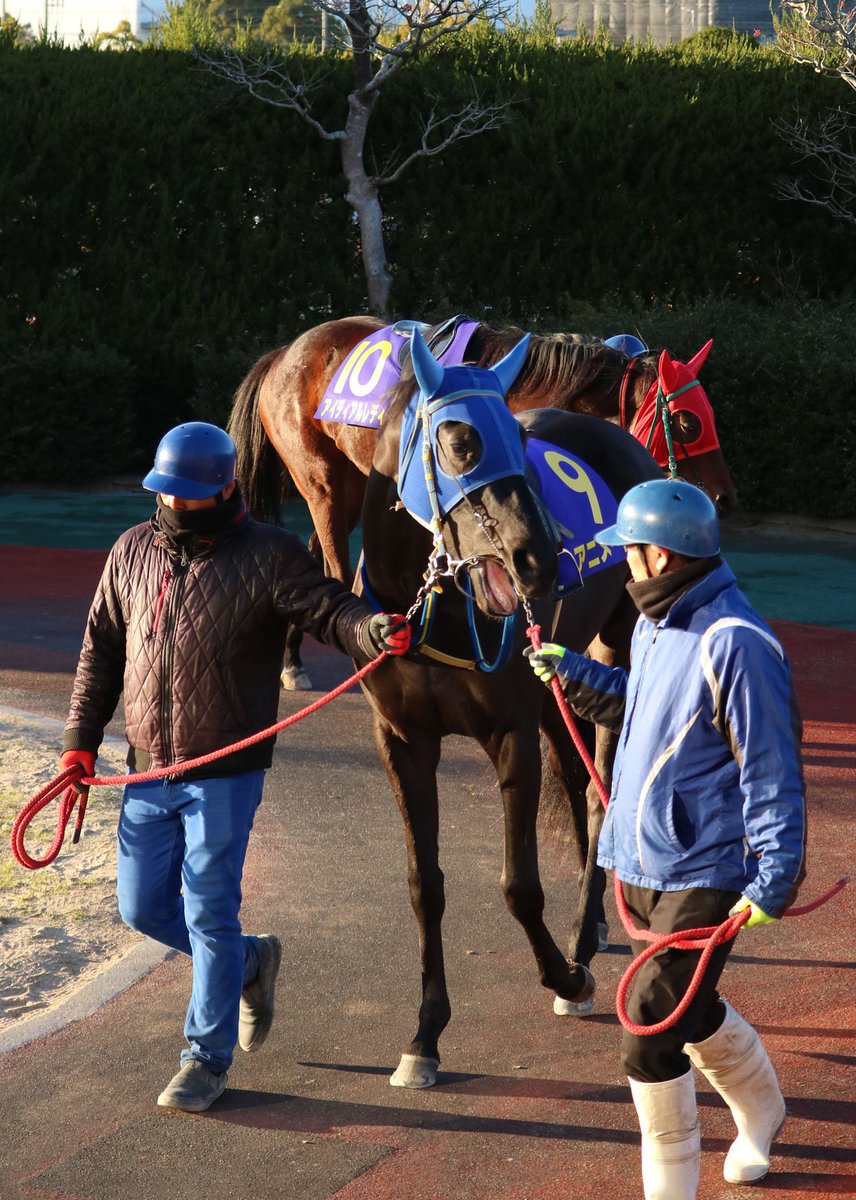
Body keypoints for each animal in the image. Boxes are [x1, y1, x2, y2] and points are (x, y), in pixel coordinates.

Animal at [226, 314, 734, 691]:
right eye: (688, 424)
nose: (722, 499)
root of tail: (282, 354)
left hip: (350, 484)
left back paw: (293, 660)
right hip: (322, 481)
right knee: (332, 562)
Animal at [229, 328, 662, 1089]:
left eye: (520, 437)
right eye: (461, 441)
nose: (538, 556)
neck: (438, 605)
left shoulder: (508, 730)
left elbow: (519, 885)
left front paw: (564, 976)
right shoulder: (404, 738)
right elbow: (423, 885)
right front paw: (425, 1034)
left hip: (615, 644)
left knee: (602, 782)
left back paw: (585, 937)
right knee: (575, 770)